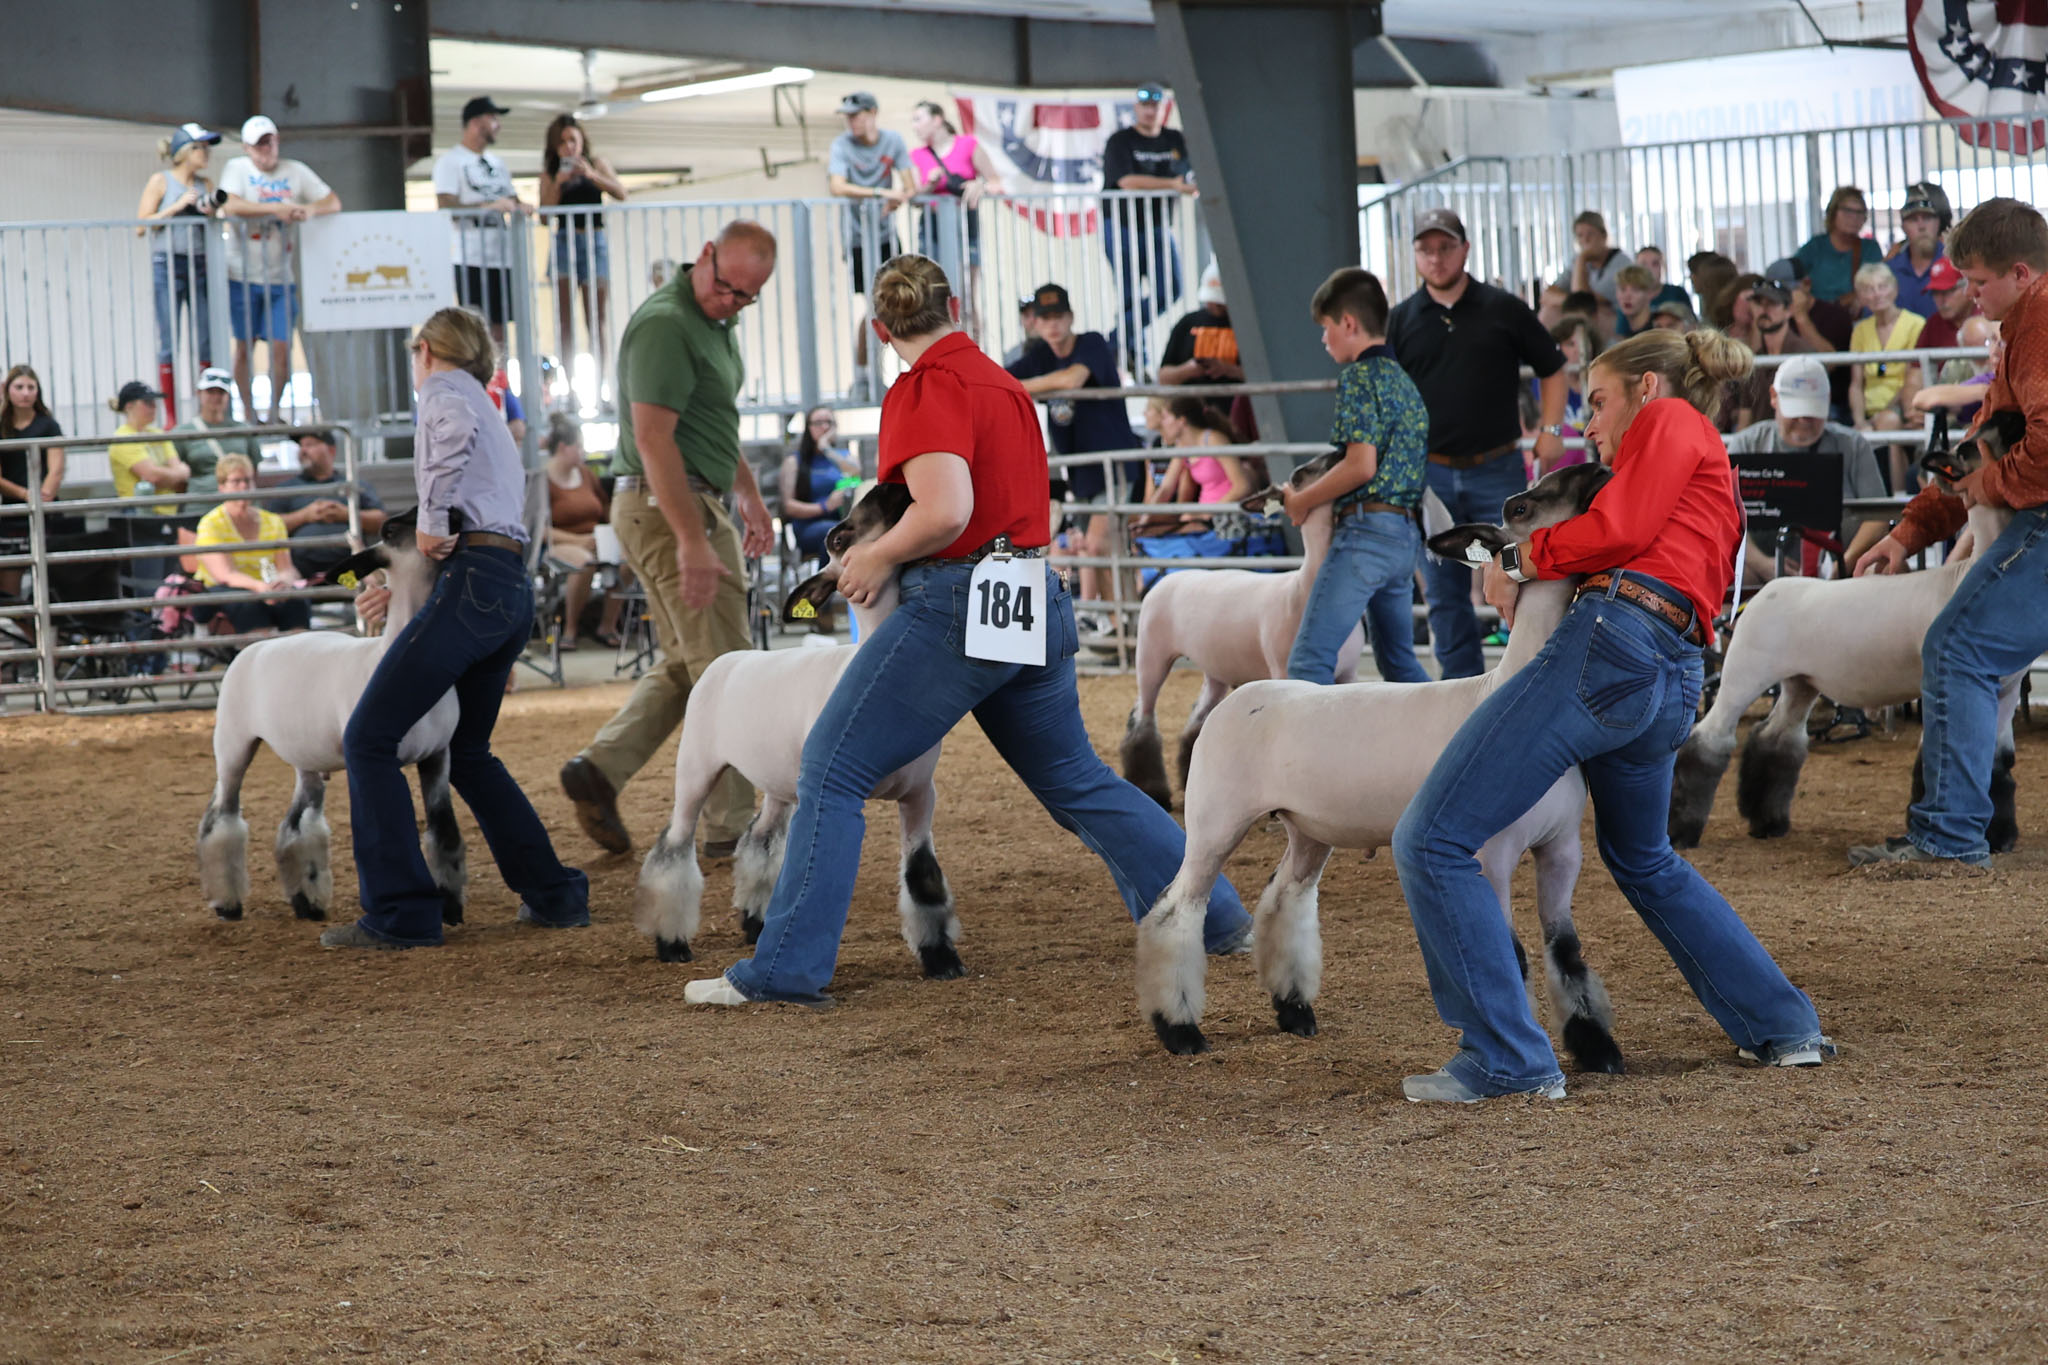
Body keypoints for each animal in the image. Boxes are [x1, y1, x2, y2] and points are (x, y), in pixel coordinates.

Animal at [196, 511, 466, 923]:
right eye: (391, 530)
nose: (455, 514)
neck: (388, 653)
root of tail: (251, 648)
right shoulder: (368, 757)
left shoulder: (437, 755)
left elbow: (444, 828)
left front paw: (450, 906)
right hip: (232, 743)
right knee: (220, 817)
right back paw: (227, 904)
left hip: (305, 757)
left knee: (295, 827)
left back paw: (307, 903)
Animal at [633, 482, 963, 974]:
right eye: (837, 539)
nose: (892, 488)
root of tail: (728, 658)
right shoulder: (829, 784)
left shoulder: (920, 792)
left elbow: (922, 872)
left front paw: (941, 957)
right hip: (694, 766)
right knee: (674, 845)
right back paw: (672, 942)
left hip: (777, 781)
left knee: (759, 840)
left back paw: (754, 922)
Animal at [1119, 449, 1370, 808]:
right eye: (1299, 475)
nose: (1339, 453)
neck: (1303, 587)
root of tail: (1167, 578)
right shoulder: (1282, 669)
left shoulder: (1348, 673)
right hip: (1150, 653)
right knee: (1142, 717)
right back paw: (1153, 790)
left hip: (1215, 667)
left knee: (1197, 719)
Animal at [1669, 416, 2025, 850]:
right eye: (1972, 447)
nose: (2012, 418)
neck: (1967, 574)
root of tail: (1764, 591)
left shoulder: (2006, 690)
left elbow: (1998, 761)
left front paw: (2000, 836)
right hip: (1743, 672)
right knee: (1710, 739)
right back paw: (1682, 831)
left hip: (1799, 681)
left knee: (1776, 738)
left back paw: (1767, 822)